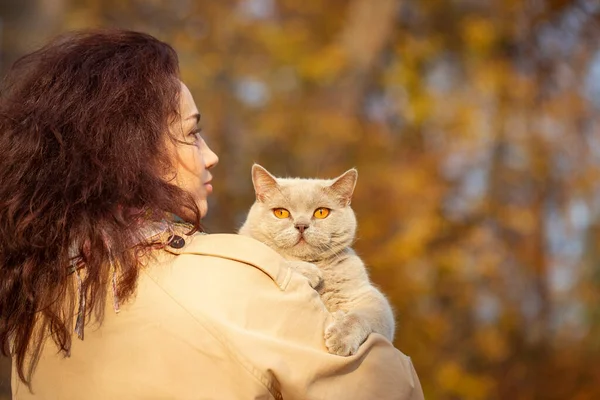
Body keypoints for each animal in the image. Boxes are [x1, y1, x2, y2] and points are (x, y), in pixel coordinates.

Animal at [239, 164, 394, 354]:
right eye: (281, 213)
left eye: (321, 212)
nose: (301, 225)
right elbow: (277, 258)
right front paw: (311, 273)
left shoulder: (370, 299)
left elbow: (358, 317)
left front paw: (341, 338)